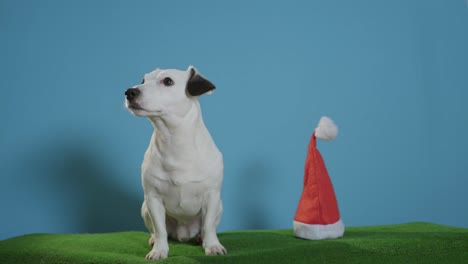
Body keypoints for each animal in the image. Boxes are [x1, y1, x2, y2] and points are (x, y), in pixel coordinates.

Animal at [124, 66, 227, 260]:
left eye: (168, 81)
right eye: (143, 80)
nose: (129, 92)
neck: (174, 140)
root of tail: (184, 235)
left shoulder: (211, 197)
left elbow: (209, 226)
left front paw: (212, 245)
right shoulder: (153, 199)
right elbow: (160, 230)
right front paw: (159, 250)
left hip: (219, 207)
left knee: (205, 228)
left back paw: (200, 238)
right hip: (145, 207)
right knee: (157, 230)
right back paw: (153, 239)